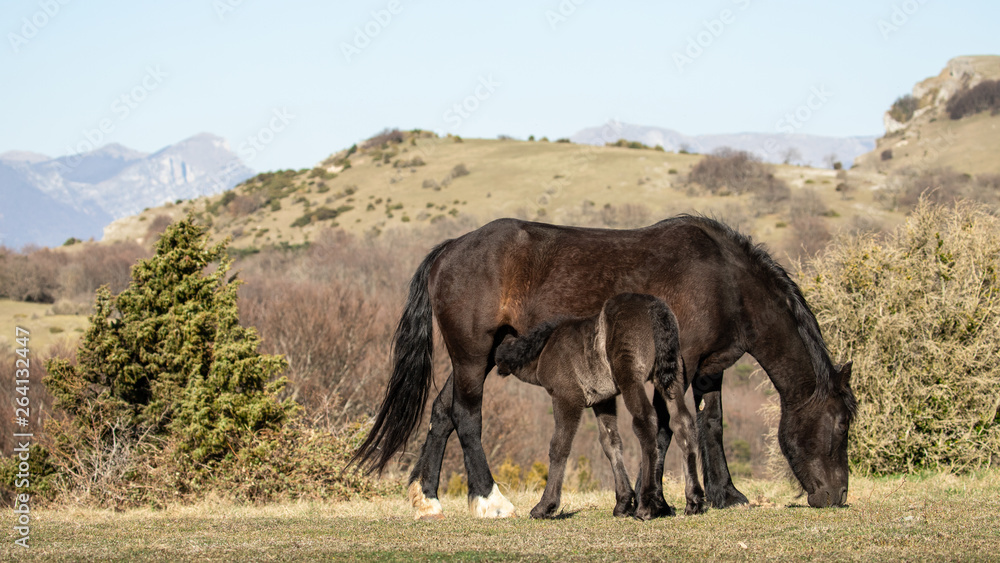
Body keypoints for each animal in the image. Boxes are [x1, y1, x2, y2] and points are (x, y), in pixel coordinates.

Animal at [493, 292, 704, 520]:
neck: (545, 348)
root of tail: (656, 307)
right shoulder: (604, 400)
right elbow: (610, 442)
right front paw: (623, 503)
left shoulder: (567, 398)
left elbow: (559, 446)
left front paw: (545, 506)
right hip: (673, 380)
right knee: (683, 424)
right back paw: (694, 501)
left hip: (631, 379)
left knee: (646, 421)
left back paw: (647, 505)